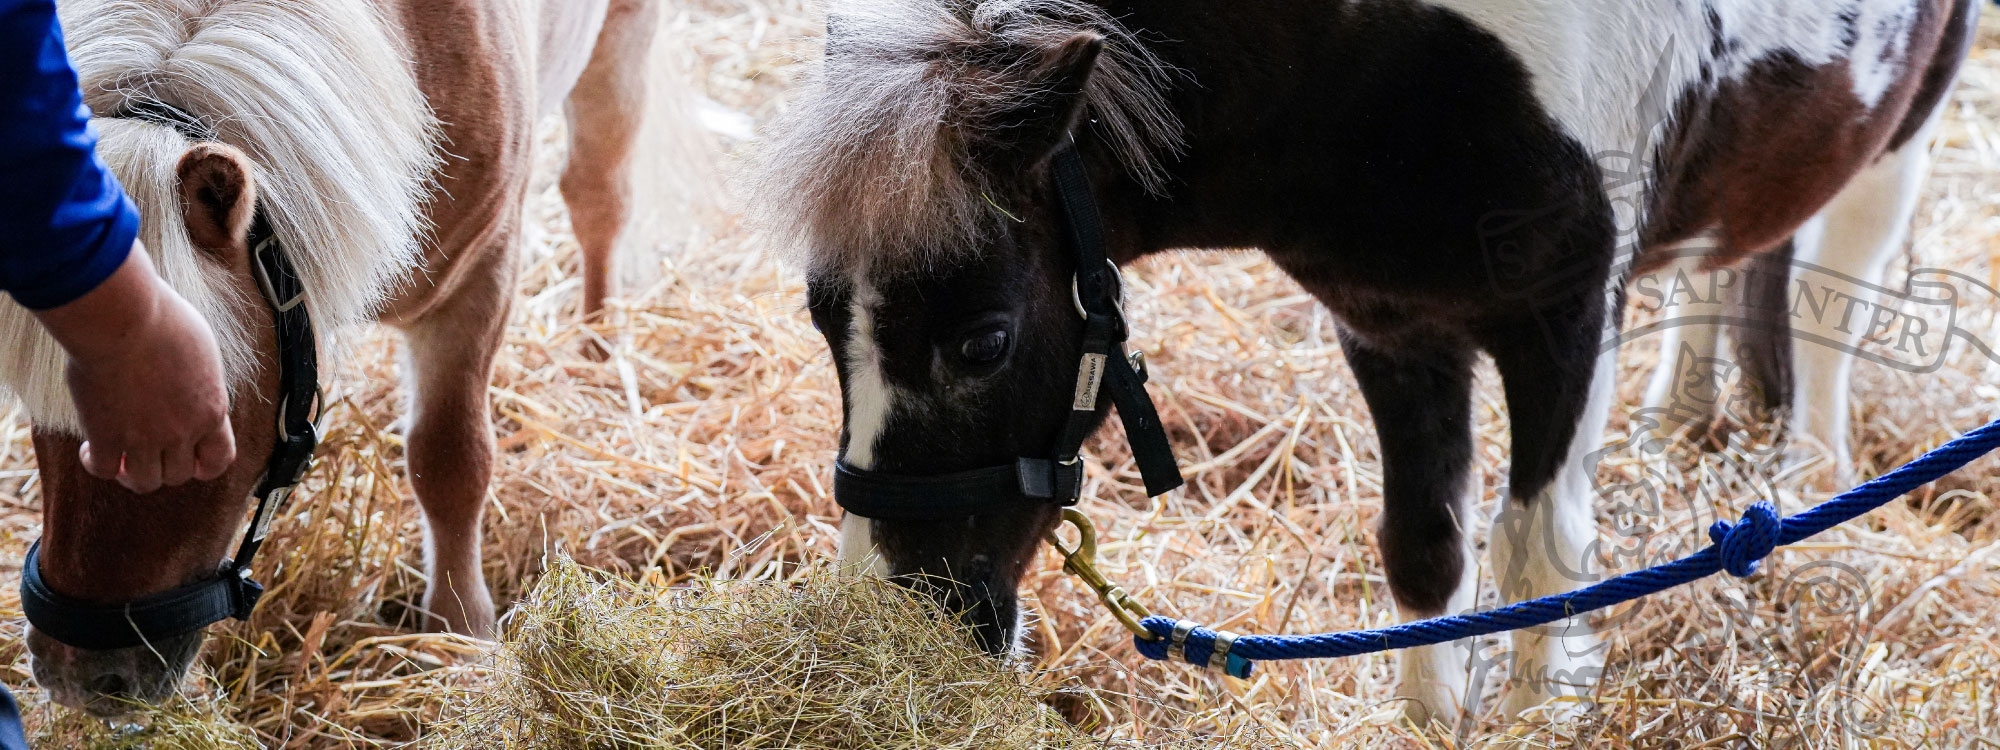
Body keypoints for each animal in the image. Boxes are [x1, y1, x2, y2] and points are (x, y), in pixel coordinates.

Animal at [0, 0, 661, 716]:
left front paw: (459, 631)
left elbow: (450, 460)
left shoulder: (478, 279)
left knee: (599, 198)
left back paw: (599, 350)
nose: (76, 676)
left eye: (196, 431)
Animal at [753, 0, 1976, 723]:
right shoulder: (1393, 326)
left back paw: (1811, 471)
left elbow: (1540, 556)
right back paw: (1684, 419)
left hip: (1904, 129)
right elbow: (1425, 551)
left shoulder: (1565, 321)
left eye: (982, 341)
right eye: (821, 321)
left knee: (1835, 285)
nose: (881, 620)